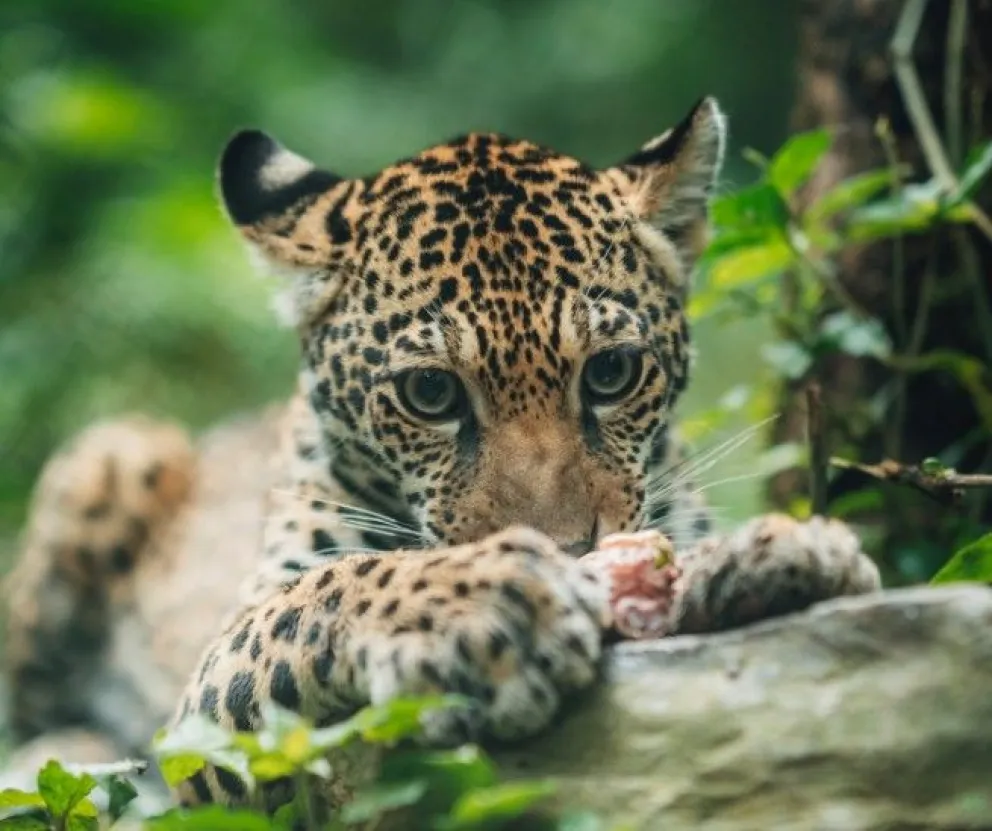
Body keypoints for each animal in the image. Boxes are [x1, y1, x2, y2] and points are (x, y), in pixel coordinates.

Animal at [0, 97, 881, 813]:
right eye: (430, 392)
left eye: (611, 373)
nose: (570, 550)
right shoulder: (208, 706)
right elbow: (329, 585)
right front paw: (483, 603)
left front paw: (781, 551)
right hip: (109, 452)